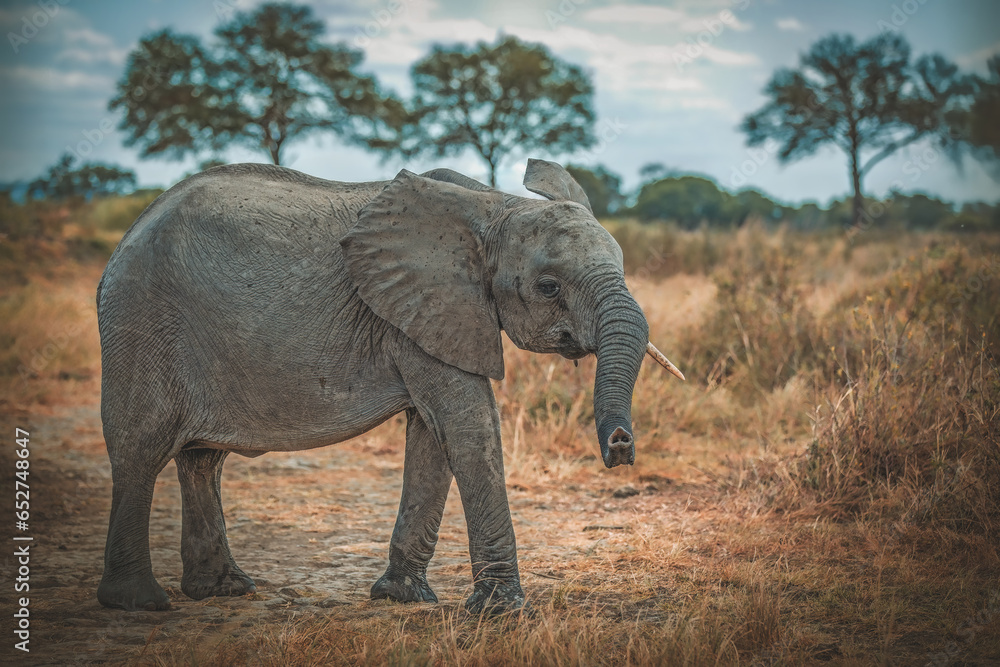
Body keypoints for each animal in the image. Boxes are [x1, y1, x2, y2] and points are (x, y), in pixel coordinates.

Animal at [95, 158, 683, 613]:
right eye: (548, 287)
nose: (620, 447)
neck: (494, 206)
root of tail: (125, 239)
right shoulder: (419, 307)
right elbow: (468, 426)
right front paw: (501, 611)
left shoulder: (426, 313)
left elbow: (432, 435)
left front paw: (403, 598)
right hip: (142, 320)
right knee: (140, 450)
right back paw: (138, 603)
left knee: (201, 460)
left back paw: (223, 591)